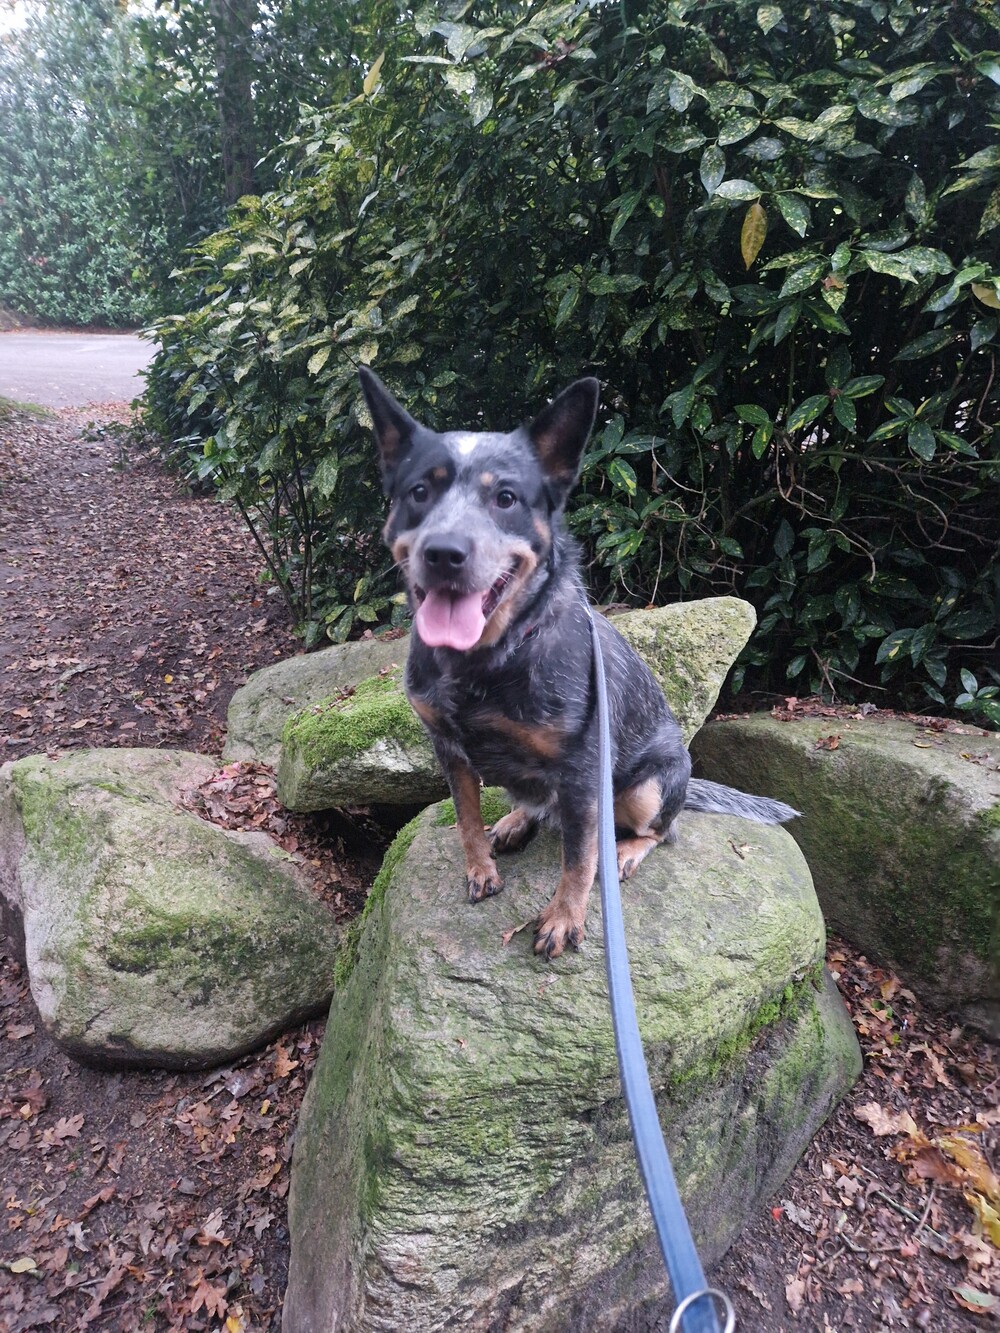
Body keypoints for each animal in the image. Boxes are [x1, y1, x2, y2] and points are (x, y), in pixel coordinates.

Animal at [359, 368, 799, 959]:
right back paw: (517, 819)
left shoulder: (584, 771)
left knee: (658, 832)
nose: (444, 552)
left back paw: (626, 851)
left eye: (506, 497)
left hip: (646, 788)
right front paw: (480, 869)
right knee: (539, 804)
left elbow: (580, 858)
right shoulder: (447, 748)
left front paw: (564, 918)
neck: (489, 661)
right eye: (419, 492)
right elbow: (467, 819)